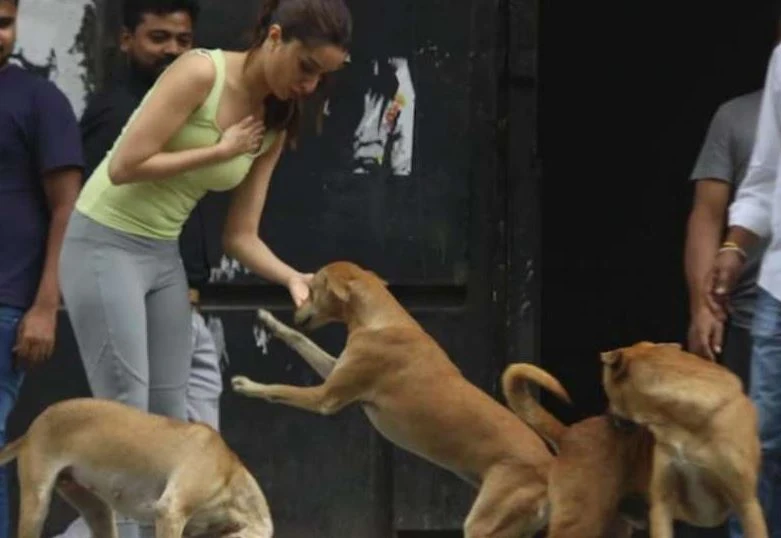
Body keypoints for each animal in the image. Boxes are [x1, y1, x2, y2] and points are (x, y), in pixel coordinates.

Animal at [232, 258, 556, 532]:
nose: (296, 312)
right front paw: (272, 322)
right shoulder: (334, 370)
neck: (380, 319)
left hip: (484, 523)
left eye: (311, 291)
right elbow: (300, 339)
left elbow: (279, 389)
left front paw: (248, 386)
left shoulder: (325, 397)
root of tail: (550, 469)